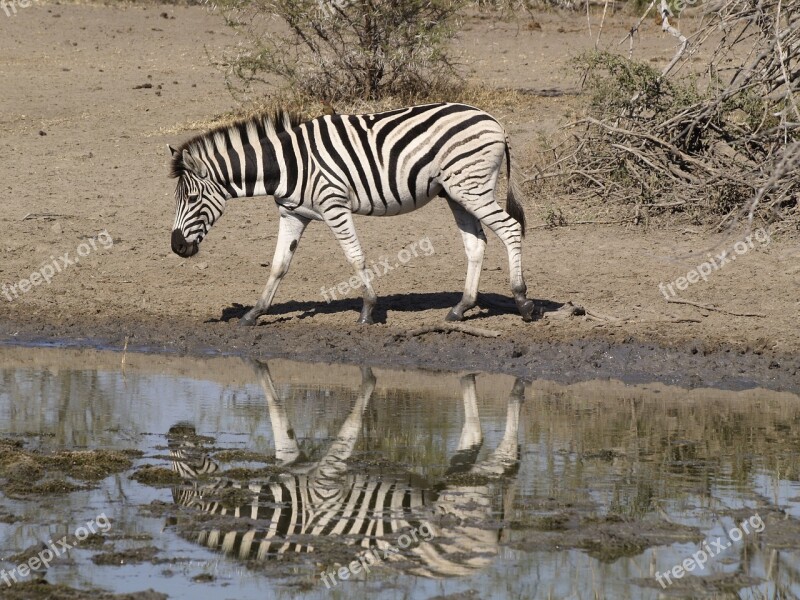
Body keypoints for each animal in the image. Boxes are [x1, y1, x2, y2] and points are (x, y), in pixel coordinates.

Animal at [166, 360, 520, 580]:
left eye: (186, 466)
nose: (173, 430)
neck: (281, 508)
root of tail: (487, 557)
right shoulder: (296, 462)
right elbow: (279, 414)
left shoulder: (325, 481)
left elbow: (348, 429)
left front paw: (368, 381)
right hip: (459, 486)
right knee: (480, 443)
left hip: (463, 494)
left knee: (507, 457)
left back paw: (516, 393)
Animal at [170, 104, 540, 328]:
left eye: (192, 198)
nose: (176, 247)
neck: (289, 164)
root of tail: (495, 121)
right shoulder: (292, 214)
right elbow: (278, 265)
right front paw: (254, 313)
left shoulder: (334, 205)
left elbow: (356, 257)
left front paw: (367, 310)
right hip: (457, 193)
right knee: (476, 243)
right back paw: (461, 307)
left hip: (471, 187)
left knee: (510, 228)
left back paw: (522, 301)